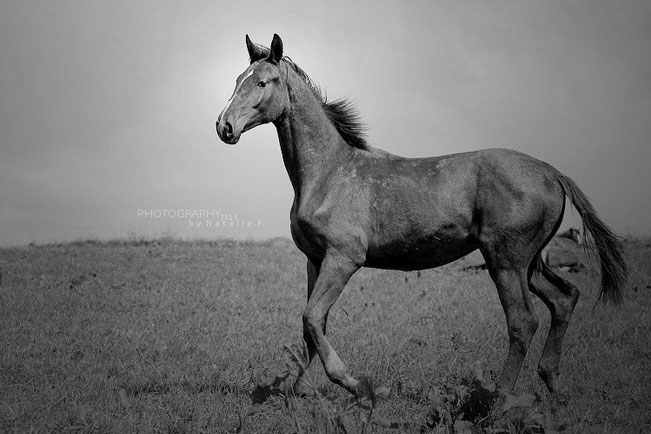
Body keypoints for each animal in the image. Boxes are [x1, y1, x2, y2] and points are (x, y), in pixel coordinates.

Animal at [216, 34, 628, 400]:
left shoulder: (343, 258)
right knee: (565, 298)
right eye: (237, 80)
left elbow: (312, 317)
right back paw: (553, 384)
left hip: (506, 260)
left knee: (523, 322)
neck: (328, 173)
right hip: (530, 262)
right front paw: (302, 389)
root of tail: (552, 173)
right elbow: (314, 323)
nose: (224, 126)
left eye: (262, 82)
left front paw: (355, 385)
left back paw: (498, 401)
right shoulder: (315, 259)